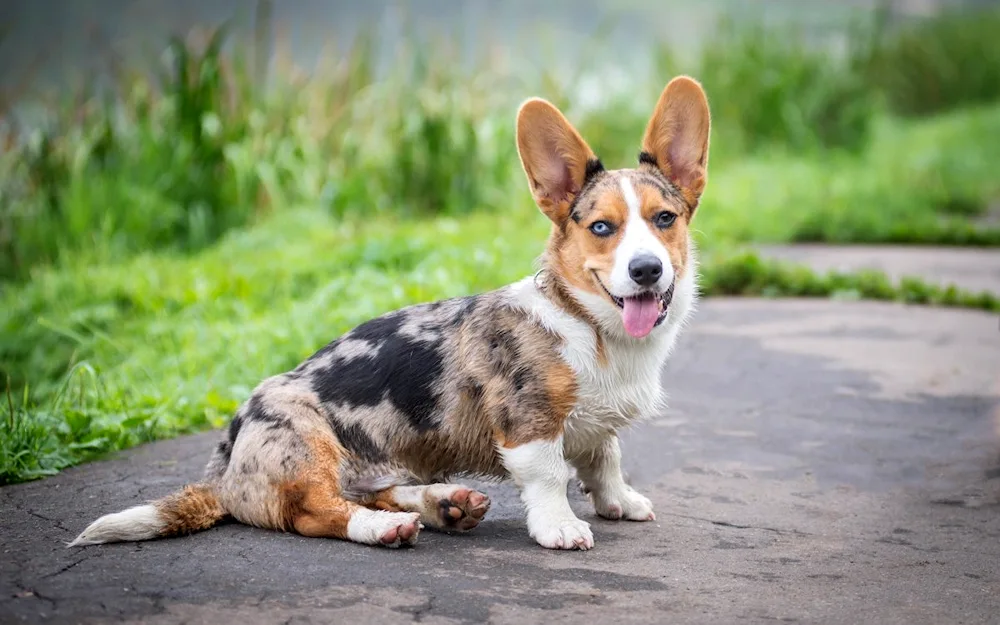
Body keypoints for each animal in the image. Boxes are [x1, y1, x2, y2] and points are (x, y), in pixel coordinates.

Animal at [70, 75, 712, 548]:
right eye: (602, 227)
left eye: (664, 219)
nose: (646, 271)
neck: (591, 327)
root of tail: (226, 469)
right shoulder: (529, 424)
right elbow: (552, 474)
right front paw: (561, 527)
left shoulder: (596, 427)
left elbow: (605, 459)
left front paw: (619, 502)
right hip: (306, 441)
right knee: (315, 512)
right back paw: (385, 528)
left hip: (379, 465)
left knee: (369, 490)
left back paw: (443, 503)